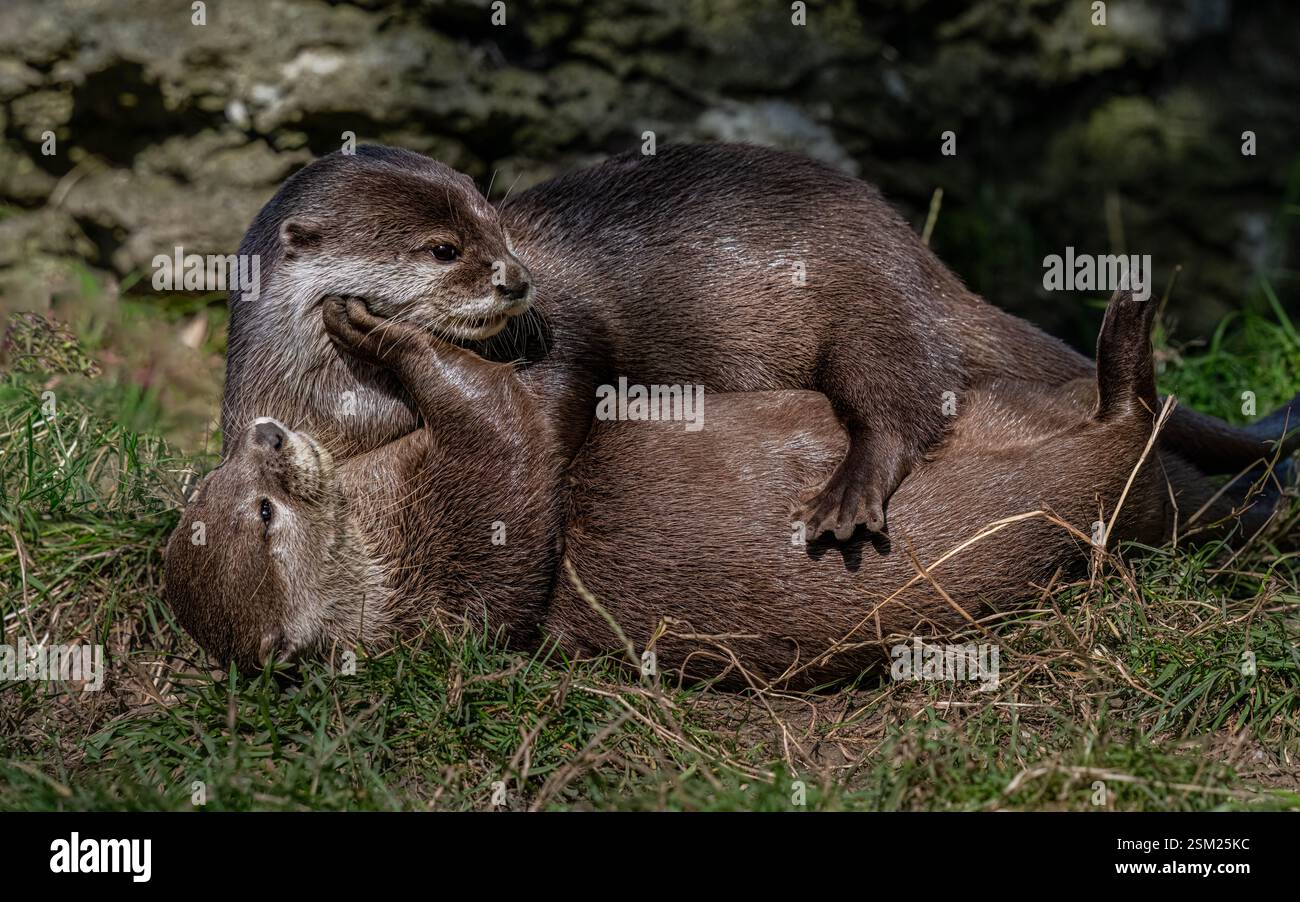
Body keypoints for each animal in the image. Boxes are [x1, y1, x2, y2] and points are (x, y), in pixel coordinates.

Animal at [170, 290, 1289, 679]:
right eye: (264, 511)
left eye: (231, 490)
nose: (267, 437)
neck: (388, 527)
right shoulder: (474, 496)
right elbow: (502, 423)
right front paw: (373, 324)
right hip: (1114, 484)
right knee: (1131, 423)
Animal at [222, 143, 1297, 540]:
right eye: (447, 249)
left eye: (497, 224)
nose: (516, 278)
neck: (338, 408)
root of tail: (915, 252)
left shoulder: (571, 331)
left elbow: (565, 386)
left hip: (866, 303)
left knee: (904, 401)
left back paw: (850, 492)